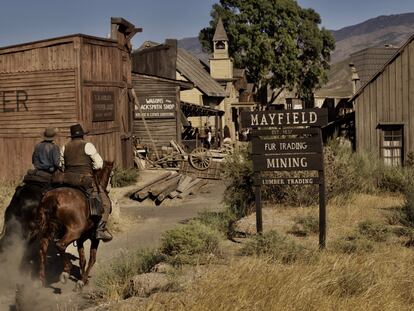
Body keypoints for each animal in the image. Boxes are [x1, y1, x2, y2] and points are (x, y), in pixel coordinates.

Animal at [37, 161, 113, 290]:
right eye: (112, 175)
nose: (108, 189)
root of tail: (51, 197)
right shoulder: (94, 238)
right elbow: (92, 259)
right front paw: (82, 281)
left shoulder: (81, 239)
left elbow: (83, 259)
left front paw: (83, 279)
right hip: (74, 232)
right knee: (60, 245)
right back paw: (66, 271)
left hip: (48, 230)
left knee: (43, 249)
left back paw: (42, 280)